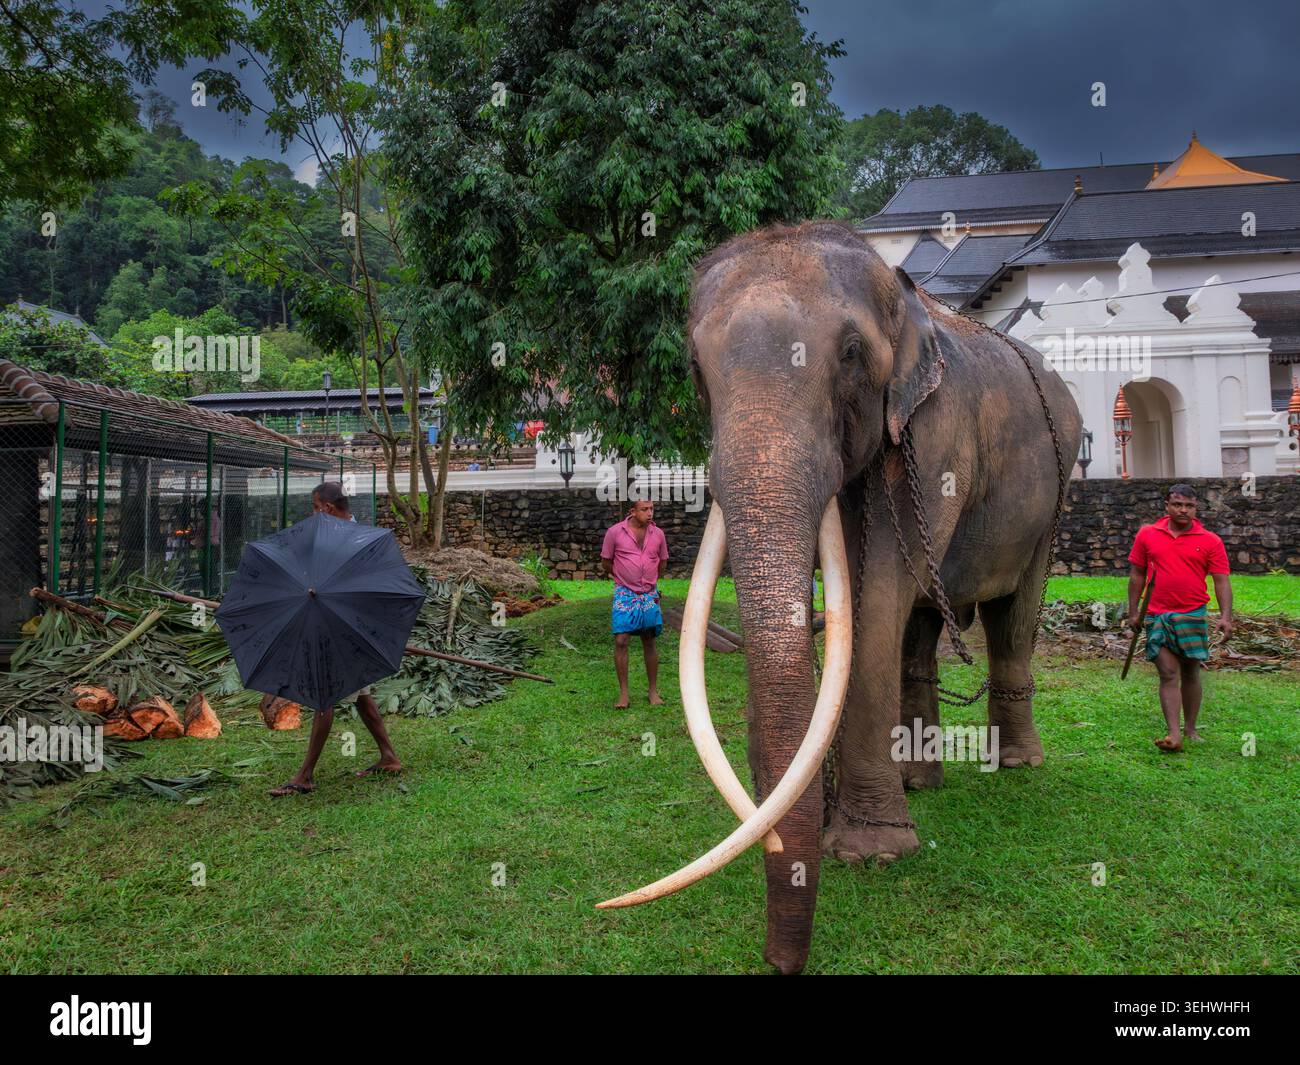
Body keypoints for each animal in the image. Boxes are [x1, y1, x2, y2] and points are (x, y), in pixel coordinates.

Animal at [597, 220, 1083, 975]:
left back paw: (1017, 765)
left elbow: (879, 592)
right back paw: (920, 783)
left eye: (851, 355)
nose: (777, 963)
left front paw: (870, 852)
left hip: (1053, 500)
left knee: (1012, 617)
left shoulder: (933, 437)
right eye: (696, 370)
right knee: (924, 627)